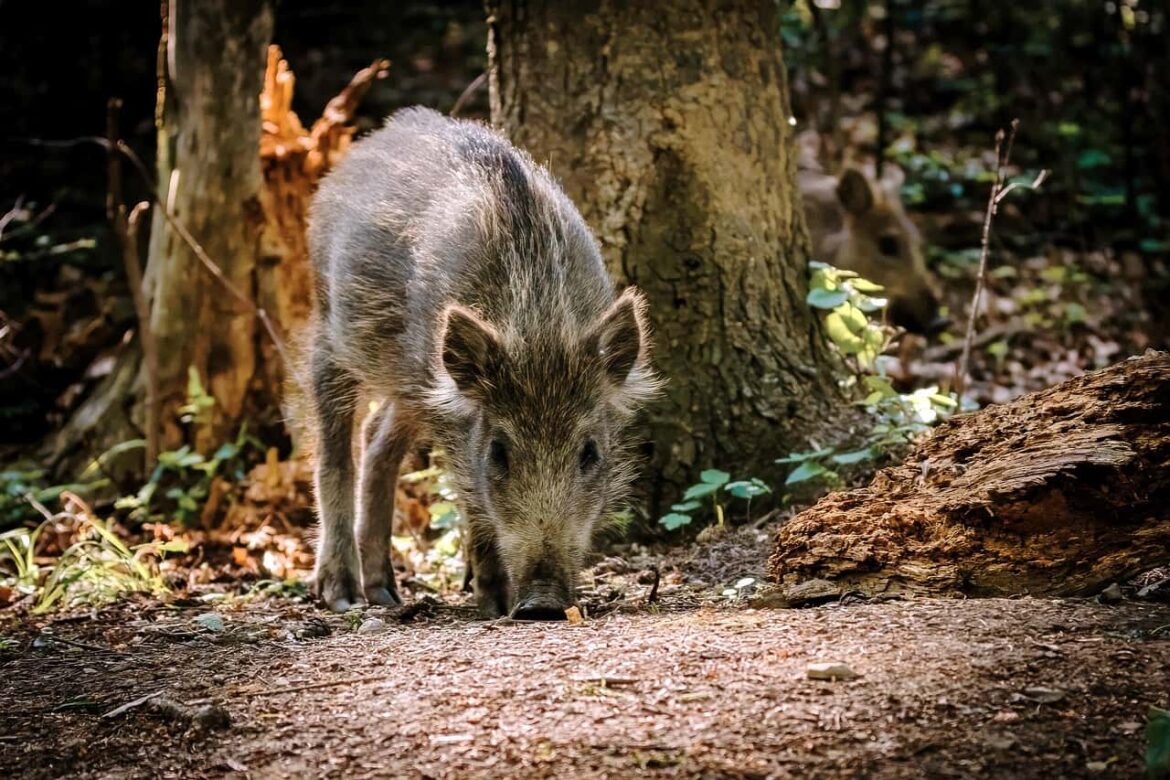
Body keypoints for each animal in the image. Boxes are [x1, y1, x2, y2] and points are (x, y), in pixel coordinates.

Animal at [306, 107, 658, 618]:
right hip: (331, 331)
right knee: (335, 449)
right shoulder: (452, 409)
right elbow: (470, 493)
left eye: (590, 451)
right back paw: (344, 595)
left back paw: (385, 592)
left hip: (410, 382)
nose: (541, 604)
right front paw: (493, 601)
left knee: (377, 438)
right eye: (498, 451)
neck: (538, 325)